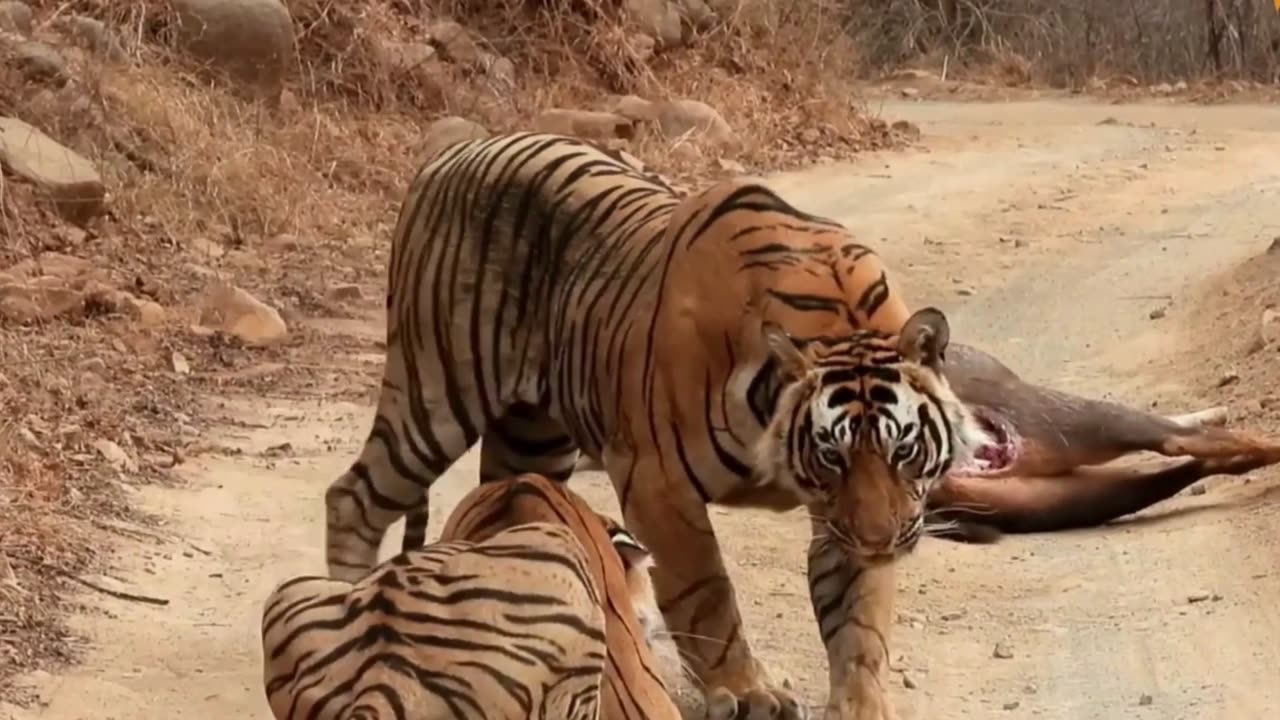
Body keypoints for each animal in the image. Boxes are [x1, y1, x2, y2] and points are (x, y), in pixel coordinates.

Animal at [322, 130, 988, 717]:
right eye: (832, 454)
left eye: (904, 450)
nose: (880, 543)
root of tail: (454, 149)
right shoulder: (658, 484)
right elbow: (707, 596)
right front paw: (747, 692)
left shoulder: (839, 515)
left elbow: (858, 618)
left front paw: (860, 702)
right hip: (435, 393)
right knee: (354, 497)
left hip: (533, 439)